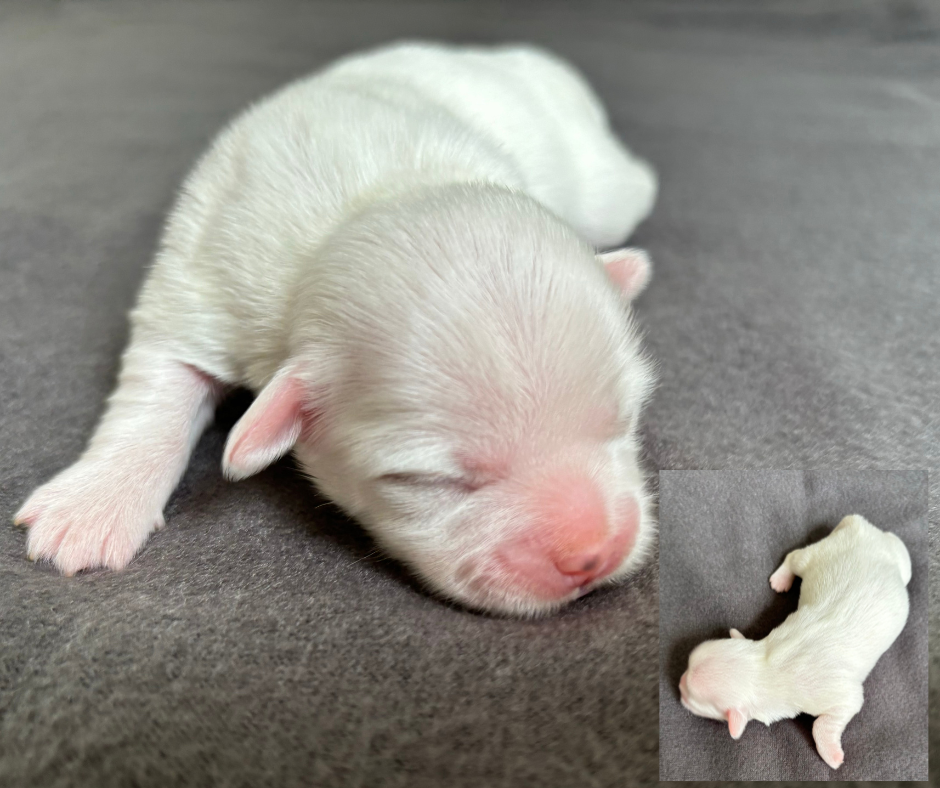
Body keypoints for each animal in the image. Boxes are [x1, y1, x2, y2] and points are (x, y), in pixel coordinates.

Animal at [14, 41, 660, 616]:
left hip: (602, 193)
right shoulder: (197, 284)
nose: (592, 557)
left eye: (627, 420)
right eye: (427, 479)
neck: (370, 204)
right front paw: (94, 505)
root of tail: (529, 63)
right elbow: (157, 391)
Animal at [676, 516, 912, 768]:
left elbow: (828, 719)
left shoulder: (843, 696)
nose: (678, 682)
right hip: (828, 551)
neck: (765, 666)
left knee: (796, 555)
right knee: (796, 555)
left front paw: (832, 754)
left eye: (689, 696)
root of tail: (864, 528)